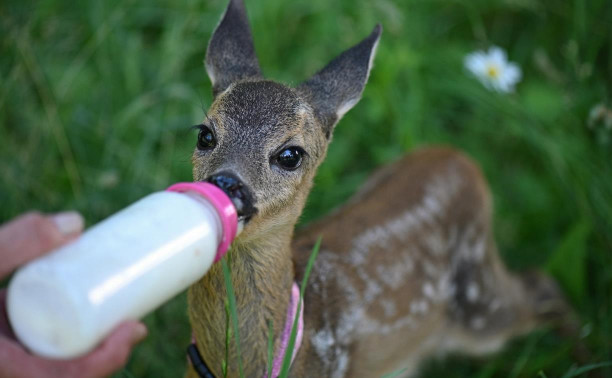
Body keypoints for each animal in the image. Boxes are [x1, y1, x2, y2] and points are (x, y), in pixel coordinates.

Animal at [185, 1, 564, 376]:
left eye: (290, 155)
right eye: (205, 135)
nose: (225, 182)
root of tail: (459, 159)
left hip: (480, 298)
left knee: (541, 287)